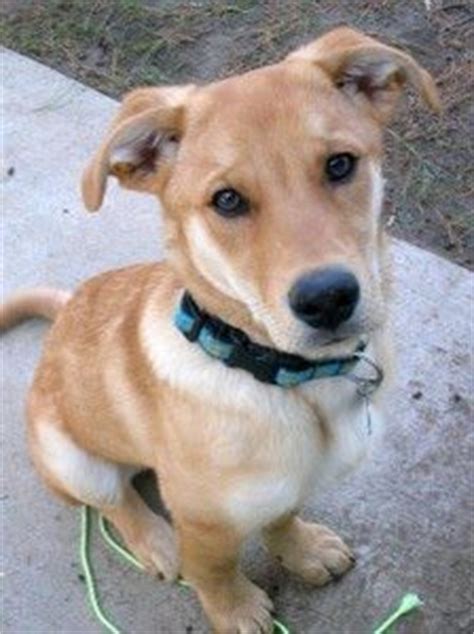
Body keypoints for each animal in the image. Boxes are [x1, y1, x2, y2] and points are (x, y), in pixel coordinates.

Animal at [0, 25, 438, 632]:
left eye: (340, 164)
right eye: (226, 200)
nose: (328, 298)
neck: (286, 379)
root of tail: (63, 310)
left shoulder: (281, 487)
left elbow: (282, 517)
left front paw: (302, 550)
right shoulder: (204, 520)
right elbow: (214, 570)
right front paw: (235, 609)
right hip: (71, 459)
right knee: (113, 499)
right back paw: (156, 541)